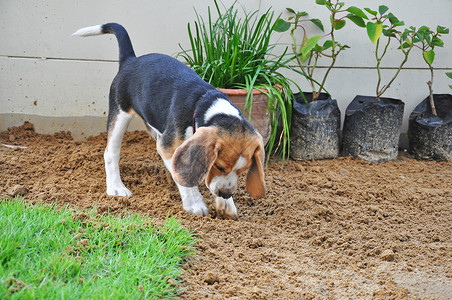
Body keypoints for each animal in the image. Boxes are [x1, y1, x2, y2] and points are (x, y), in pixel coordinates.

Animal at [72, 22, 264, 218]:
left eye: (242, 170)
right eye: (218, 166)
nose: (225, 194)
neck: (205, 104)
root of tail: (131, 60)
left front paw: (226, 205)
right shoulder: (169, 147)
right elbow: (186, 178)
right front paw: (196, 204)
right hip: (120, 113)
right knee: (111, 152)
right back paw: (116, 188)